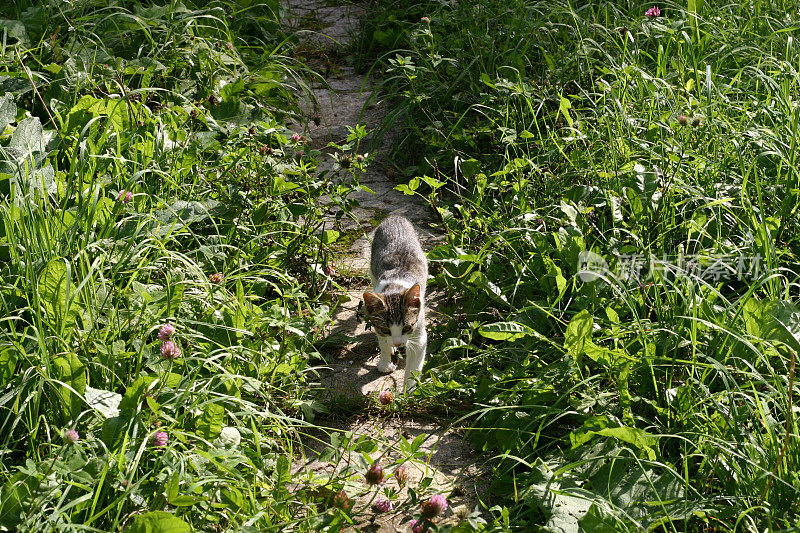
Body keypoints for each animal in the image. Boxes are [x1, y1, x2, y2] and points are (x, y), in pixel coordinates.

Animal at [362, 213, 428, 390]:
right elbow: (382, 340)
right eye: (386, 329)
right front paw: (386, 361)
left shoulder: (419, 333)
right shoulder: (377, 323)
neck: (395, 287)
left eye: (406, 327)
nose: (398, 344)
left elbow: (413, 366)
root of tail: (395, 216)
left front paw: (408, 391)